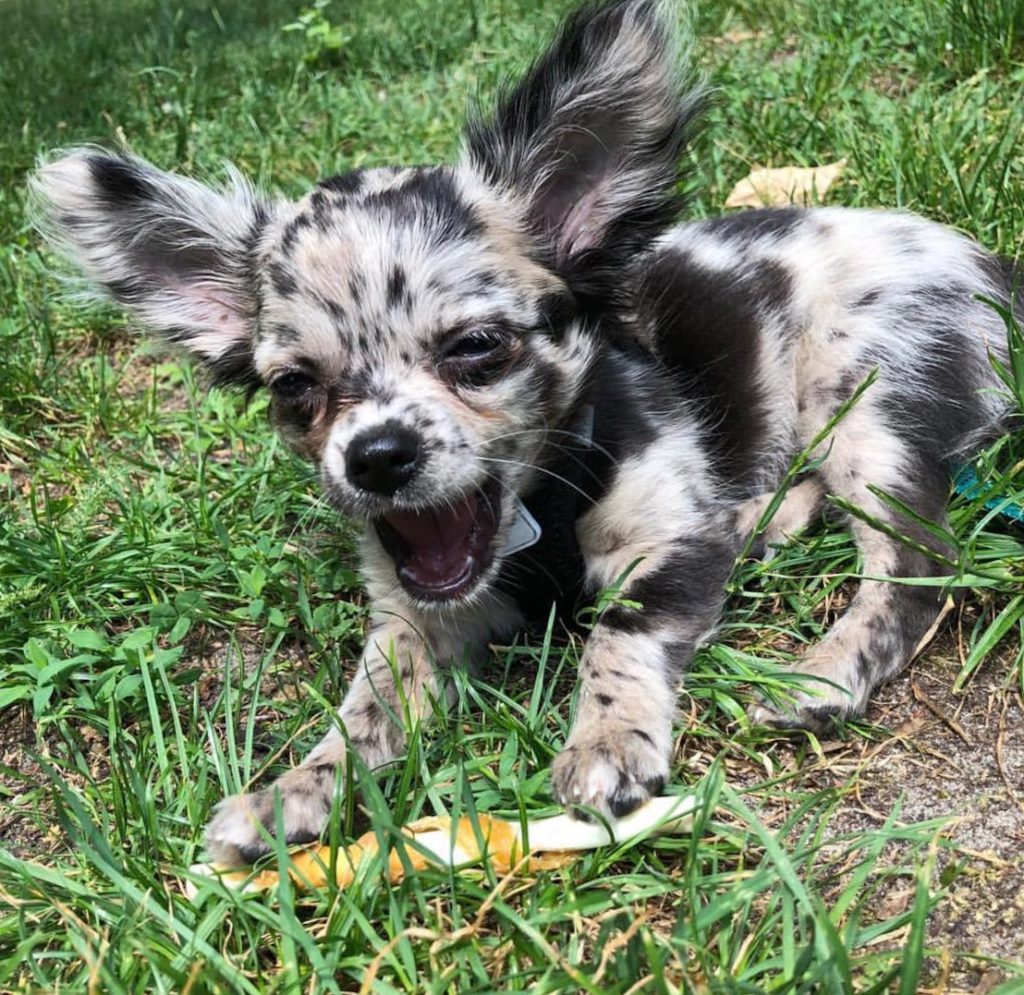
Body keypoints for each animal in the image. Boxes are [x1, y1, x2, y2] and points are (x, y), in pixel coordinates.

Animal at [29, 0, 1015, 863]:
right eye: (295, 387)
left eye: (476, 348)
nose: (376, 456)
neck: (535, 517)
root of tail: (986, 265)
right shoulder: (411, 618)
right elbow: (364, 710)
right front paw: (296, 790)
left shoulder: (666, 537)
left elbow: (621, 633)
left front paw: (607, 739)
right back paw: (764, 525)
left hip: (868, 408)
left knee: (917, 566)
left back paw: (826, 669)